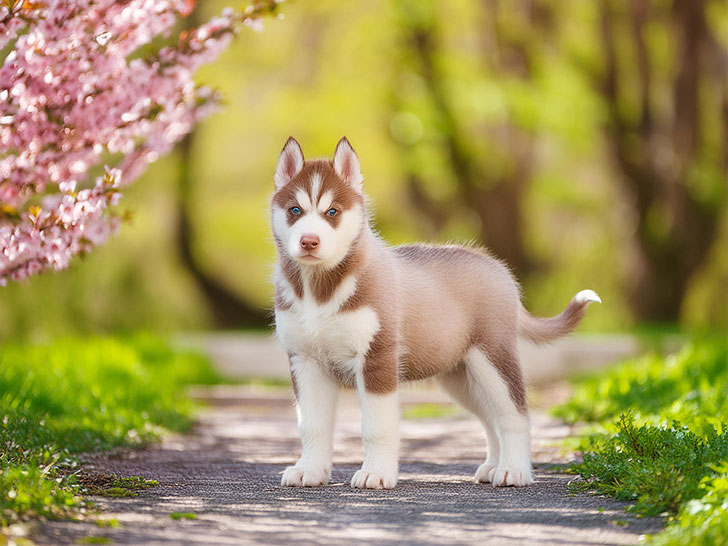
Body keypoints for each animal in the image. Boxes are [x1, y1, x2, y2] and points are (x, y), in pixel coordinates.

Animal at [270, 136, 600, 488]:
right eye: (294, 210)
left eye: (332, 212)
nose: (309, 241)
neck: (319, 291)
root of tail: (499, 268)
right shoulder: (305, 361)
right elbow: (311, 425)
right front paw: (309, 470)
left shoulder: (377, 359)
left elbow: (377, 427)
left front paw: (376, 473)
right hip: (460, 376)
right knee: (490, 418)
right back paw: (492, 466)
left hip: (492, 358)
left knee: (514, 414)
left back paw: (514, 470)